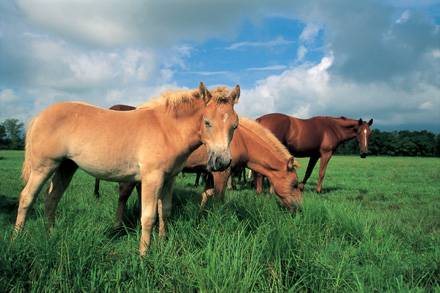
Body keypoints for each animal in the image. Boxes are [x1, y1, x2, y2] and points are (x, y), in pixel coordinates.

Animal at [14, 82, 241, 256]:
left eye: (235, 125)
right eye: (207, 122)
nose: (222, 162)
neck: (166, 129)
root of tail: (39, 116)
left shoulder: (169, 178)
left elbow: (165, 211)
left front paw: (163, 243)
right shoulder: (152, 178)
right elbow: (148, 217)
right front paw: (143, 255)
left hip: (66, 167)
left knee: (51, 198)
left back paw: (51, 234)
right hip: (44, 166)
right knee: (26, 197)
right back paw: (16, 238)